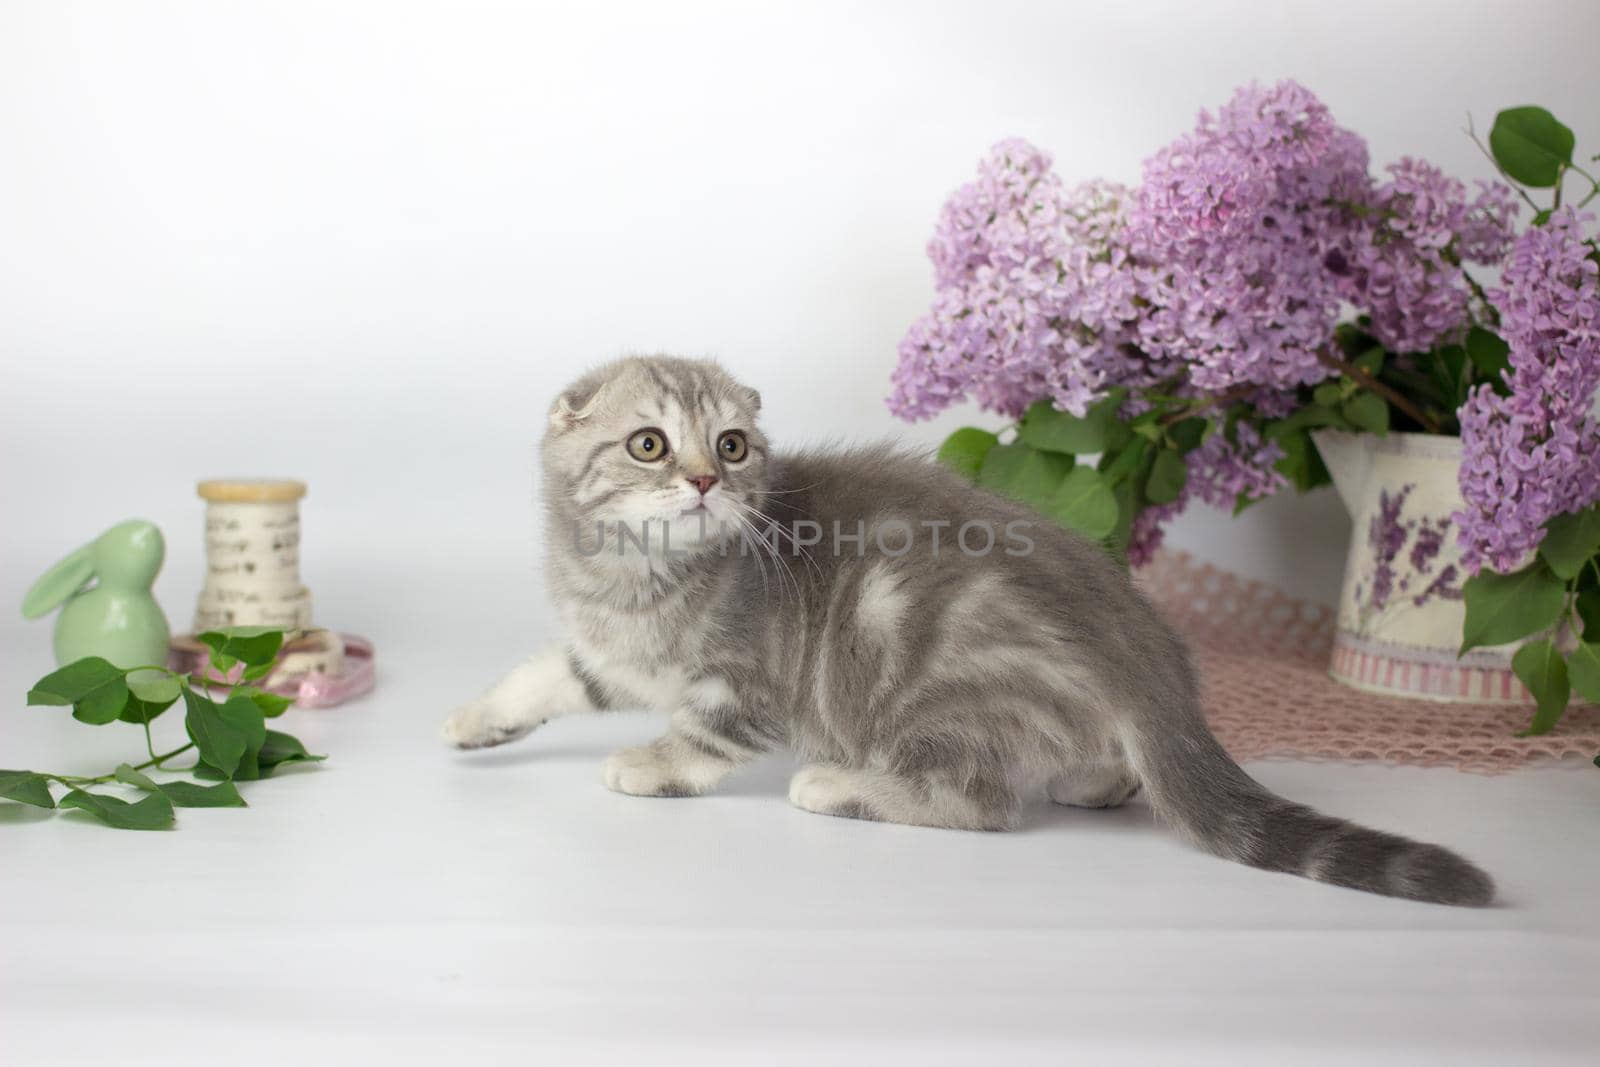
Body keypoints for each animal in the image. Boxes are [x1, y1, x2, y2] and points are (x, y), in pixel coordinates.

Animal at [444, 355, 1491, 908]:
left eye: (732, 446)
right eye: (650, 443)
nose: (705, 479)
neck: (631, 576)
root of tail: (1150, 668)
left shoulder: (743, 680)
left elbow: (702, 739)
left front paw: (647, 764)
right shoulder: (616, 655)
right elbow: (553, 670)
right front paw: (477, 719)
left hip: (936, 681)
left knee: (979, 801)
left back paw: (841, 785)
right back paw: (1098, 778)